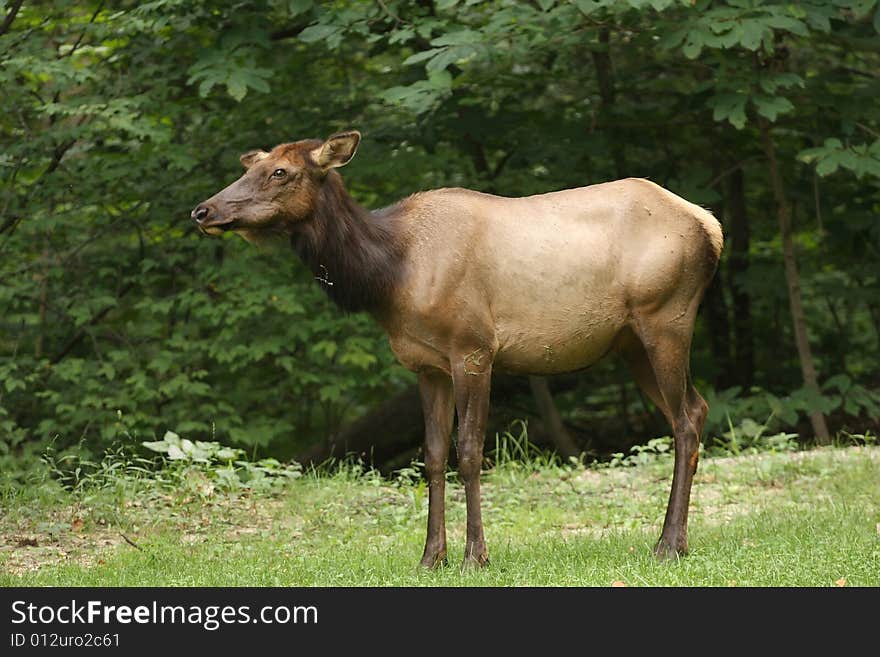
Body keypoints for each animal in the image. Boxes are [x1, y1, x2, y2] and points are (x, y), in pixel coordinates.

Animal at [192, 129, 720, 568]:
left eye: (281, 172)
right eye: (252, 166)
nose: (203, 210)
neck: (390, 277)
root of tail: (711, 226)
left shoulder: (474, 348)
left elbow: (469, 451)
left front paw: (474, 556)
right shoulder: (426, 366)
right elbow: (431, 456)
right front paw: (430, 557)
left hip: (665, 317)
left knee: (685, 420)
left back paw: (668, 545)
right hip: (630, 342)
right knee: (694, 409)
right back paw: (674, 539)